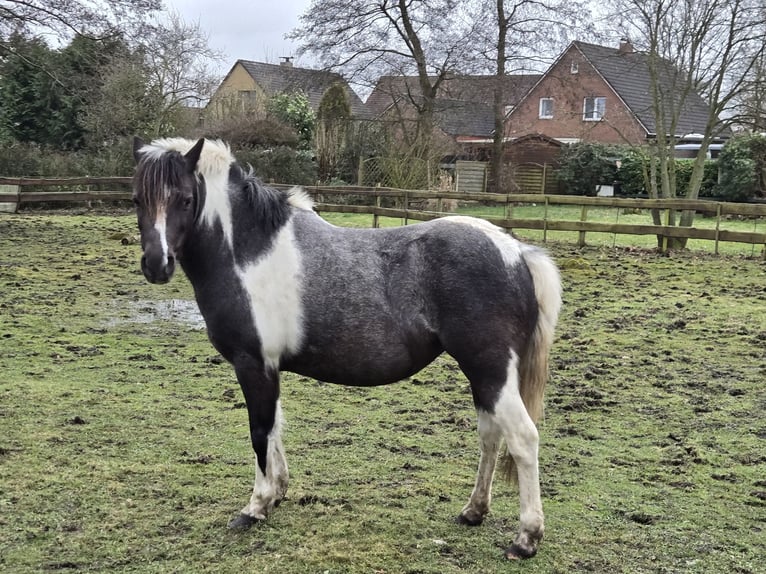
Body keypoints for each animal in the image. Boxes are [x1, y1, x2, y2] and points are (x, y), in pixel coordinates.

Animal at [131, 136, 561, 560]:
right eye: (137, 199)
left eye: (186, 199)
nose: (156, 264)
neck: (248, 251)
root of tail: (517, 252)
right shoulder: (270, 367)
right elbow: (275, 427)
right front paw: (278, 493)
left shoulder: (252, 364)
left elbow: (260, 431)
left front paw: (256, 506)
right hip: (484, 375)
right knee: (490, 434)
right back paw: (473, 512)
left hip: (490, 370)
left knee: (522, 438)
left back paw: (526, 538)